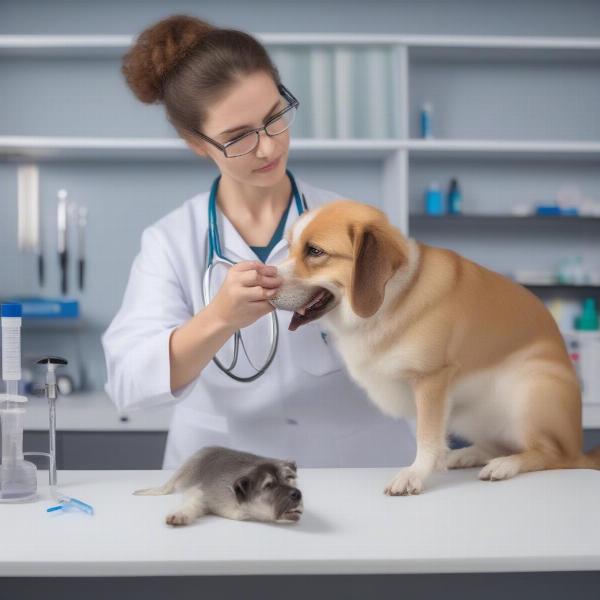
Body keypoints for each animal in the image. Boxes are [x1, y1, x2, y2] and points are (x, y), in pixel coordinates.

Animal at [133, 446, 302, 524]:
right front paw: (178, 515)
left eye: (289, 478)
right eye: (269, 485)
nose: (297, 494)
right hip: (188, 465)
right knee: (167, 485)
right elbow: (192, 502)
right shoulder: (202, 492)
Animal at [272, 199, 600, 494]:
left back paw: (506, 464)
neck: (392, 297)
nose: (266, 281)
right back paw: (468, 454)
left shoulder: (432, 379)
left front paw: (414, 474)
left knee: (554, 455)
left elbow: (426, 437)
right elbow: (431, 437)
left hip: (530, 389)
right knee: (498, 444)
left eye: (315, 251)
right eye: (290, 247)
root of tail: (579, 446)